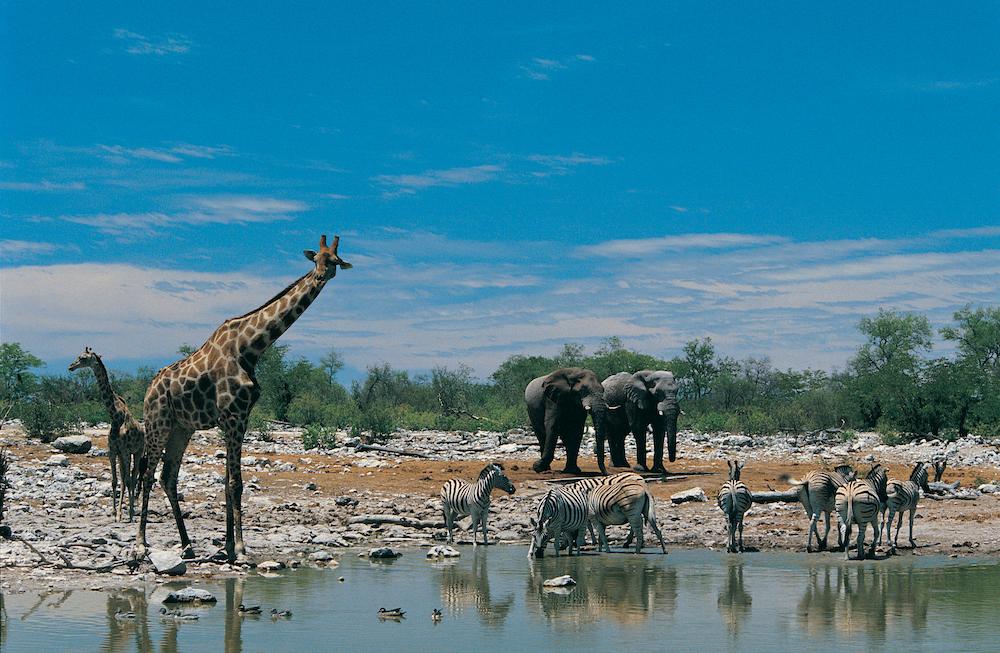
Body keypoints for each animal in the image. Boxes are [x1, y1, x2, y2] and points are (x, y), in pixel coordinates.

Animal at [69, 346, 145, 520]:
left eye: (83, 358)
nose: (71, 366)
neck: (115, 415)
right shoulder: (113, 451)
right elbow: (115, 481)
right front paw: (115, 512)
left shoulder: (125, 450)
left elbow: (128, 480)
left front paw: (128, 513)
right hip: (123, 455)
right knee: (125, 478)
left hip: (138, 452)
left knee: (133, 477)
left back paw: (132, 511)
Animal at [133, 233, 352, 560]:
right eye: (316, 259)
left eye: (335, 260)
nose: (321, 275)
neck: (251, 348)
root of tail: (149, 388)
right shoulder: (233, 416)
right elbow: (235, 483)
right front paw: (239, 546)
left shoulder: (239, 418)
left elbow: (228, 482)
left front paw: (227, 546)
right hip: (157, 422)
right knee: (148, 473)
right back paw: (141, 543)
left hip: (181, 428)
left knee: (168, 476)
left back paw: (187, 544)